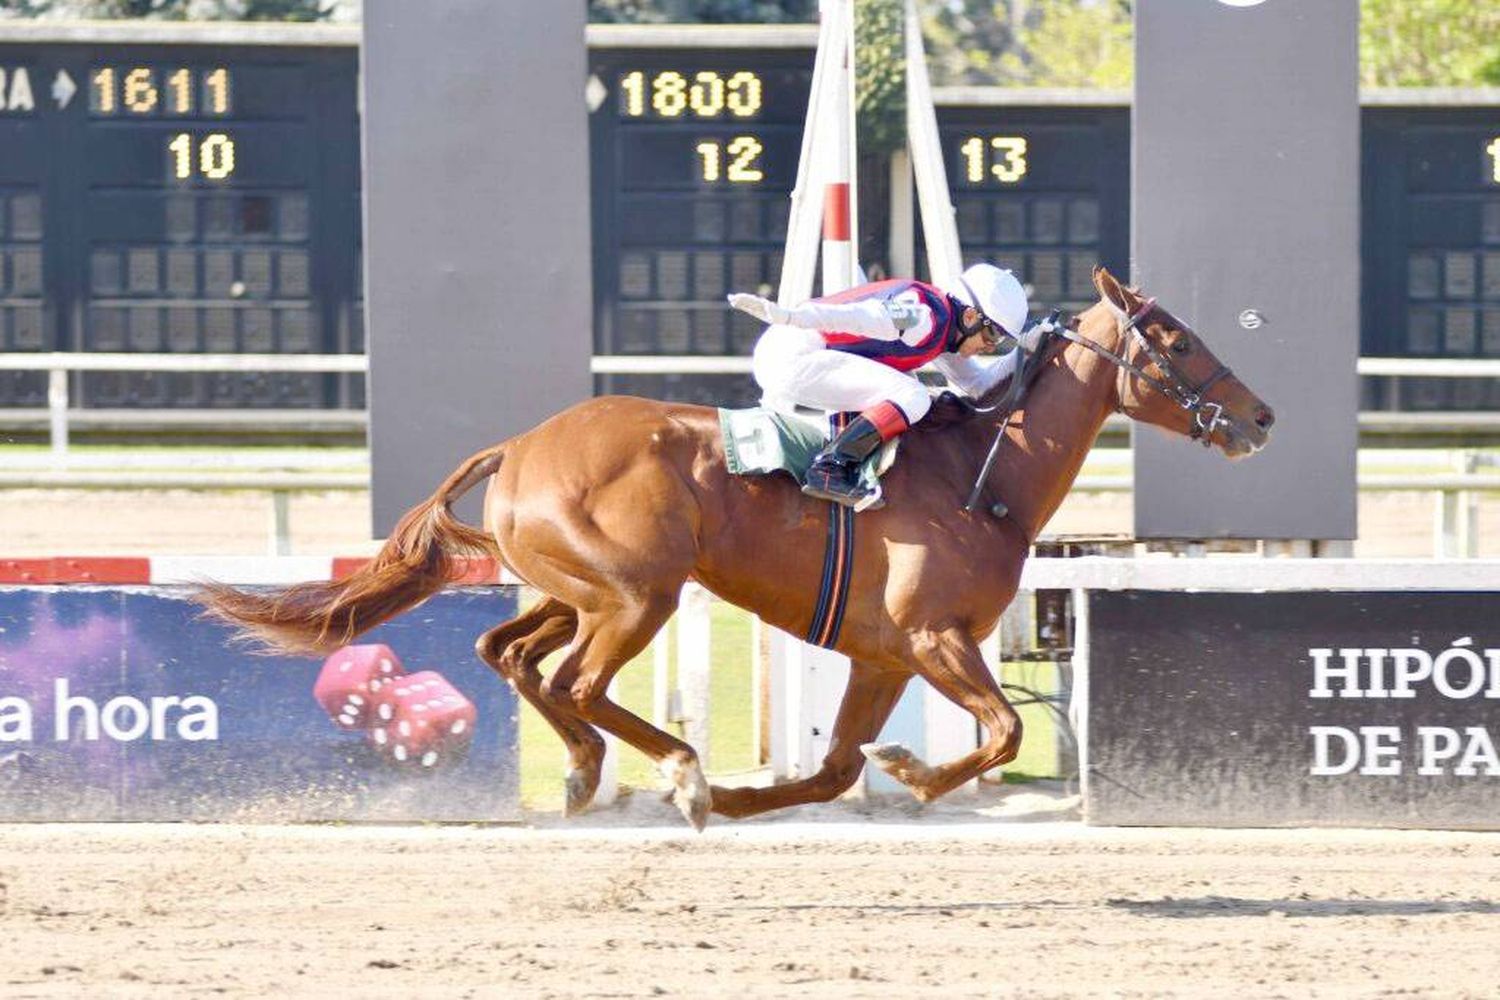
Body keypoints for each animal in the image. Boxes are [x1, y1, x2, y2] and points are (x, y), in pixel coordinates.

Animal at [199, 269, 1272, 833]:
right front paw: (907, 773)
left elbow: (837, 771)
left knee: (508, 655)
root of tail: (523, 444)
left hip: (578, 587)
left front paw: (771, 793)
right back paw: (672, 768)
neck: (984, 472)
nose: (1260, 417)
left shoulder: (886, 654)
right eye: (1175, 339)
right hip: (638, 594)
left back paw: (592, 772)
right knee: (576, 681)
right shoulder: (935, 638)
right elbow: (1004, 731)